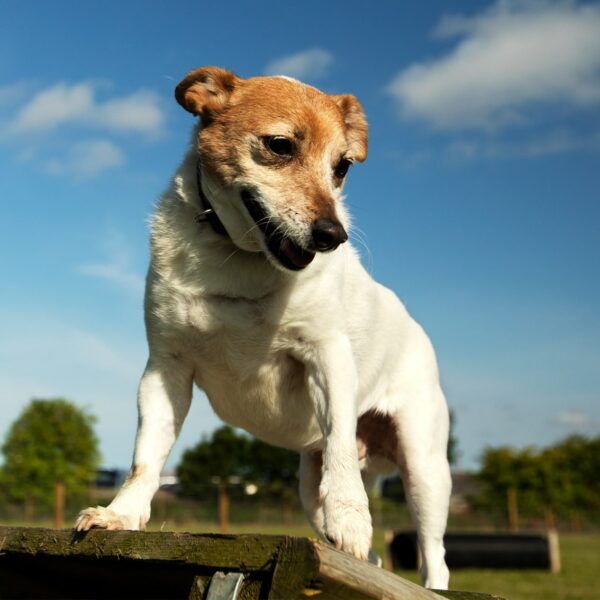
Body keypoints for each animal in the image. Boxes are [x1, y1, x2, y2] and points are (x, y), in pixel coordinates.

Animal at [75, 68, 450, 588]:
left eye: (342, 168)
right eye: (279, 145)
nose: (333, 235)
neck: (241, 260)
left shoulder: (328, 359)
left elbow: (340, 451)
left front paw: (351, 517)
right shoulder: (165, 371)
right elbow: (144, 458)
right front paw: (121, 514)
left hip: (424, 468)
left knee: (436, 557)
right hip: (311, 487)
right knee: (373, 558)